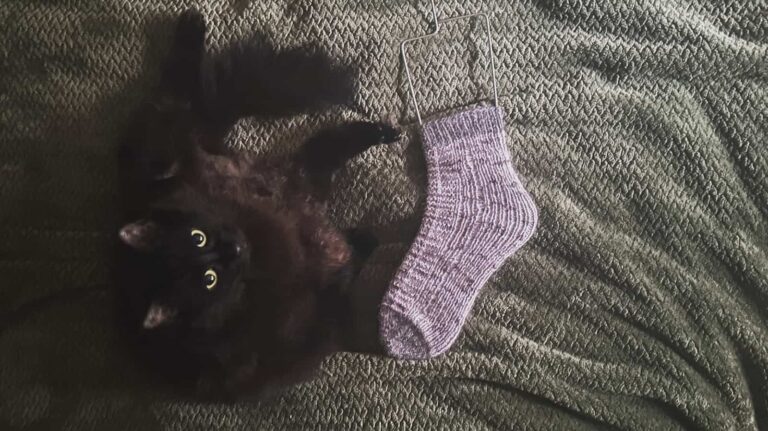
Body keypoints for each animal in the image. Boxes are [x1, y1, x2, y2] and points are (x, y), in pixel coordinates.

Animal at [117, 9, 402, 398]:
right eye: (208, 279)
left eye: (197, 238)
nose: (234, 249)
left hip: (170, 149)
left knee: (181, 90)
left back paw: (192, 23)